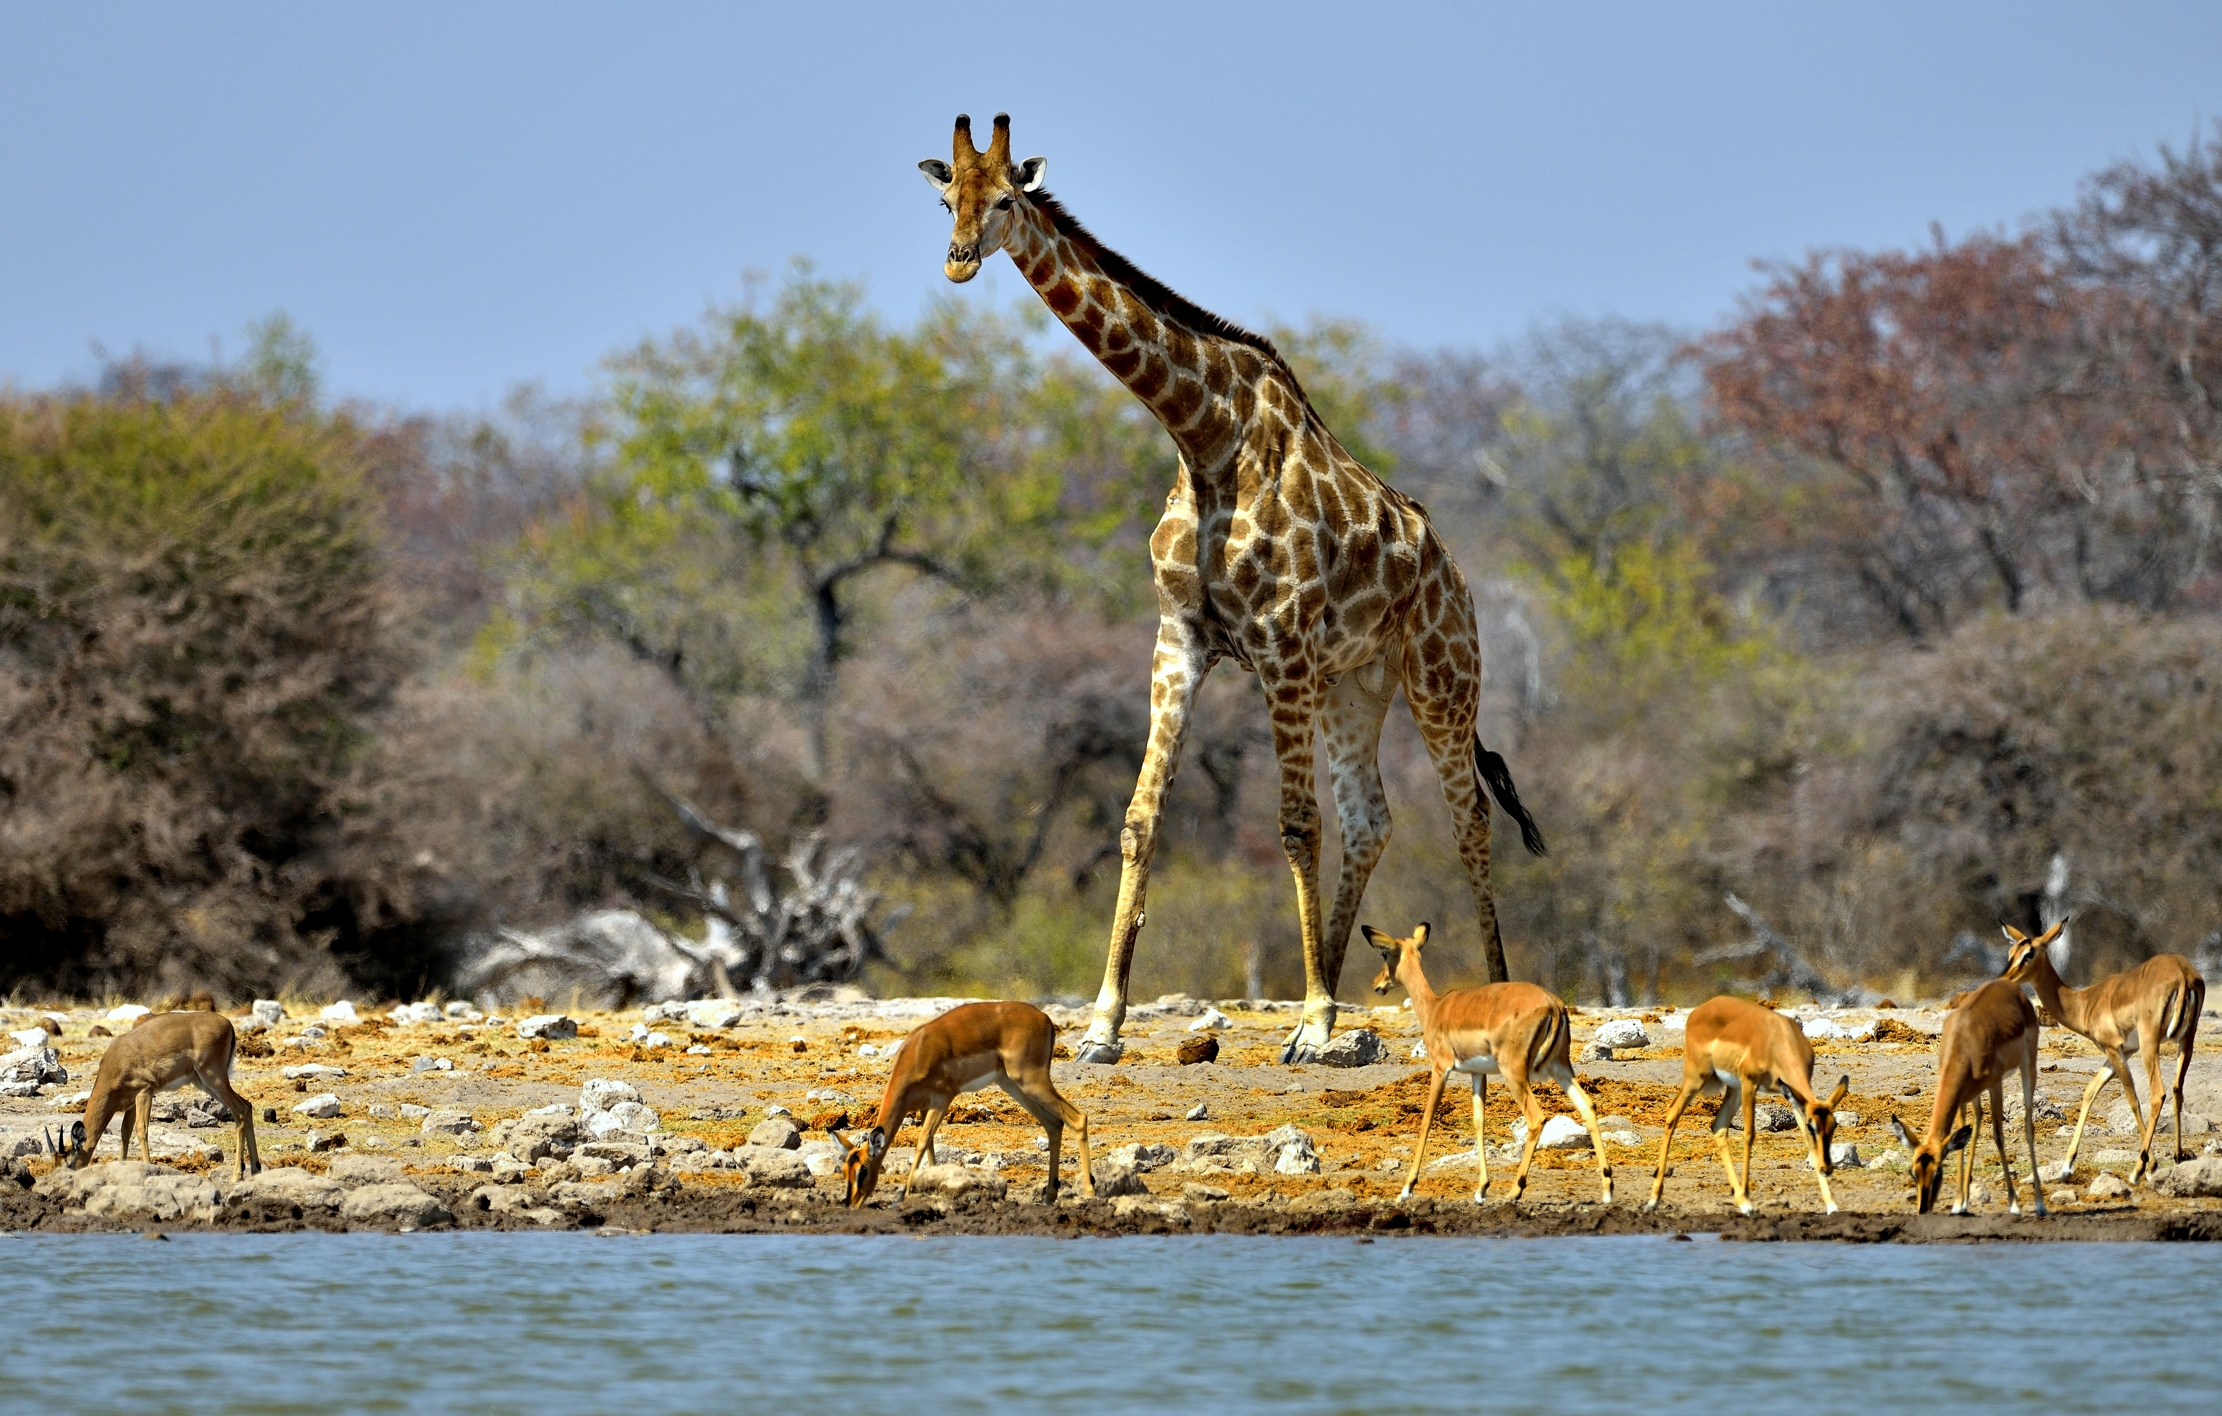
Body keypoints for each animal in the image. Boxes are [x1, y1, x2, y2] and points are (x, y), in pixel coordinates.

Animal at [920, 113, 1545, 1062]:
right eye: (946, 197)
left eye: (1003, 201)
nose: (958, 260)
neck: (1202, 433)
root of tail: (1453, 571)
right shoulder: (1180, 638)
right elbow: (1141, 817)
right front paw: (1103, 1025)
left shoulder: (1280, 644)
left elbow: (1294, 824)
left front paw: (1315, 1017)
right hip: (1355, 683)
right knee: (1372, 816)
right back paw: (1338, 997)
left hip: (1442, 675)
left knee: (1465, 812)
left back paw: (1437, 995)